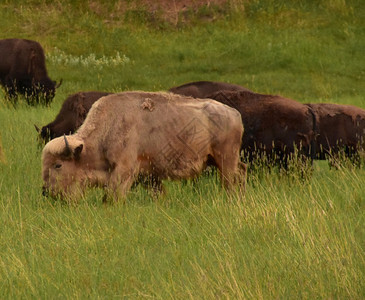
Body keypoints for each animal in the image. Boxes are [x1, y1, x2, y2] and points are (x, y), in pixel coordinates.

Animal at [41, 90, 243, 200]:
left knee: (230, 181)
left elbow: (112, 196)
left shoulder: (124, 170)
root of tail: (234, 114)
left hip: (225, 160)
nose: (46, 192)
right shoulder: (148, 174)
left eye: (58, 165)